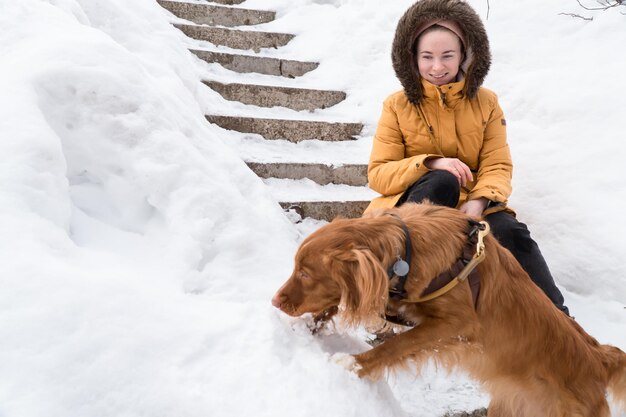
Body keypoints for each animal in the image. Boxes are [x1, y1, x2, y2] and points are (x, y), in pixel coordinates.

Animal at [272, 203, 624, 414]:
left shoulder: (458, 325)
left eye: (305, 273)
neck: (408, 250)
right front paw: (311, 325)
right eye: (296, 267)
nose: (275, 301)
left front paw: (355, 363)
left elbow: (399, 344)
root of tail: (600, 357)